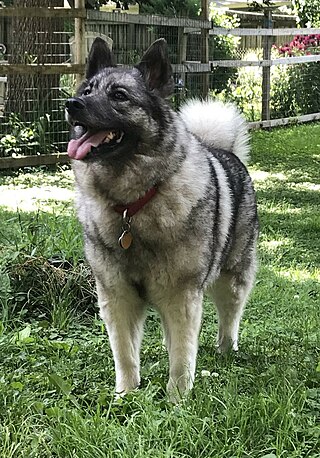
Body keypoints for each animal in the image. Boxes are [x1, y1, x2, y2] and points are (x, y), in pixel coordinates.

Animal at [66, 37, 258, 400]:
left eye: (119, 95)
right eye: (87, 90)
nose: (72, 104)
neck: (132, 206)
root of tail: (225, 151)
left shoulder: (180, 297)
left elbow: (182, 355)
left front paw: (177, 399)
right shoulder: (117, 297)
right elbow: (125, 353)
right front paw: (125, 395)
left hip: (231, 278)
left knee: (230, 316)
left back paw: (226, 351)